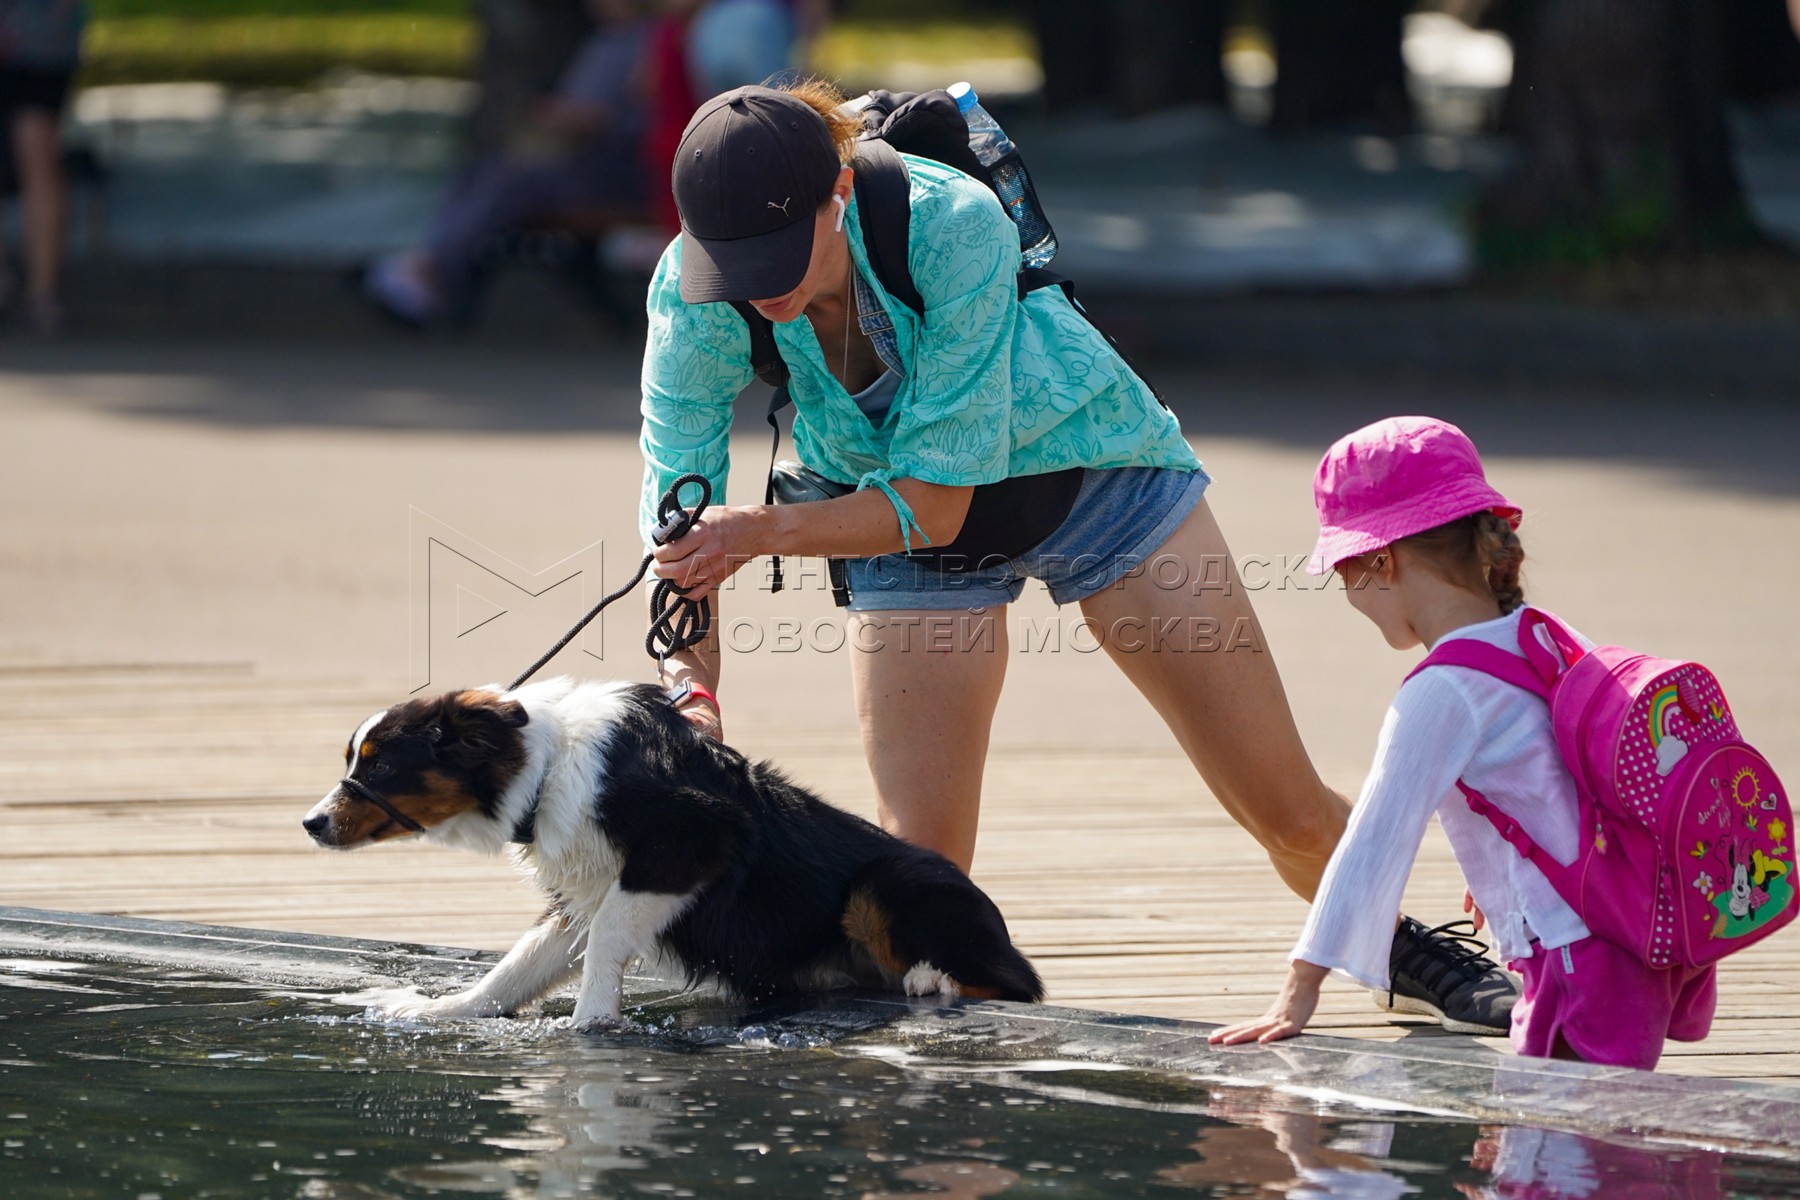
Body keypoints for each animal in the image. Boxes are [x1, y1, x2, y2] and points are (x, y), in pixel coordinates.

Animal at [304, 680, 1044, 1029]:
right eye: (353, 760)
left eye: (380, 766)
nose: (311, 823)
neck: (544, 767)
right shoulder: (582, 886)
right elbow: (516, 968)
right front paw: (442, 1012)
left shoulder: (694, 838)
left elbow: (606, 939)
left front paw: (591, 1026)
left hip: (889, 879)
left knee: (1021, 984)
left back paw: (932, 980)